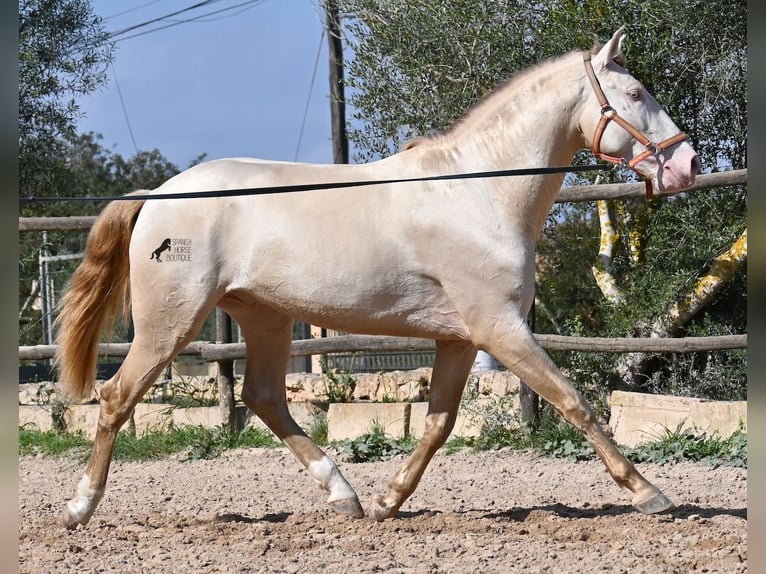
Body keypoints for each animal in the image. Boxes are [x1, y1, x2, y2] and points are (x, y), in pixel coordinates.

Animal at [55, 28, 704, 532]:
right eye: (636, 93)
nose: (687, 165)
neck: (479, 194)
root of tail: (158, 195)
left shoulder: (460, 338)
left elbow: (439, 424)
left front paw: (390, 502)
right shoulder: (500, 328)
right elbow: (574, 402)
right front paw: (651, 494)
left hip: (266, 317)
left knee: (263, 397)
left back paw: (346, 496)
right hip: (172, 322)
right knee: (117, 398)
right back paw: (79, 509)